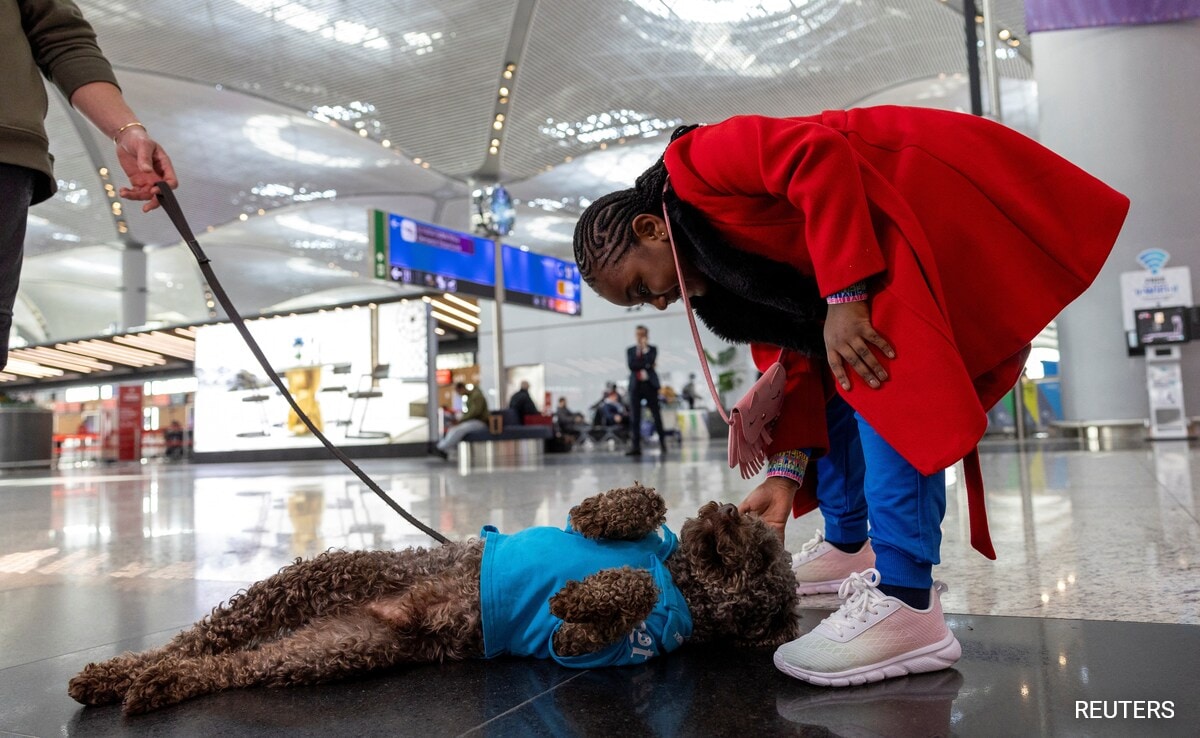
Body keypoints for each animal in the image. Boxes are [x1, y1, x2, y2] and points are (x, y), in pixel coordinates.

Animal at [65, 482, 796, 715]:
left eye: (763, 558)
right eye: (761, 537)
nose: (725, 510)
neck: (683, 578)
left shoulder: (604, 648)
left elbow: (599, 617)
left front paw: (575, 601)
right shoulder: (649, 541)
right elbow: (635, 513)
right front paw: (603, 514)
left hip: (327, 652)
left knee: (227, 665)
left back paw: (154, 682)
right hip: (311, 580)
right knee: (201, 637)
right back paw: (116, 672)